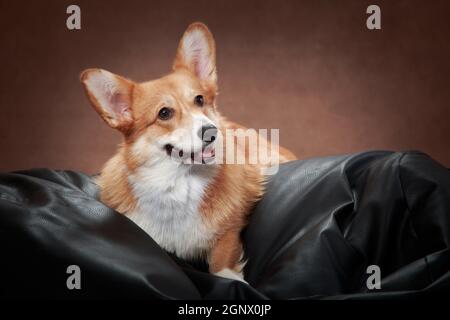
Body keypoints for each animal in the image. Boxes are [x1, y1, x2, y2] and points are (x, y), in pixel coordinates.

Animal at [80, 22, 296, 282]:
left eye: (200, 99)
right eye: (164, 113)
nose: (212, 132)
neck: (180, 182)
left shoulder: (229, 232)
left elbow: (221, 263)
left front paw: (232, 280)